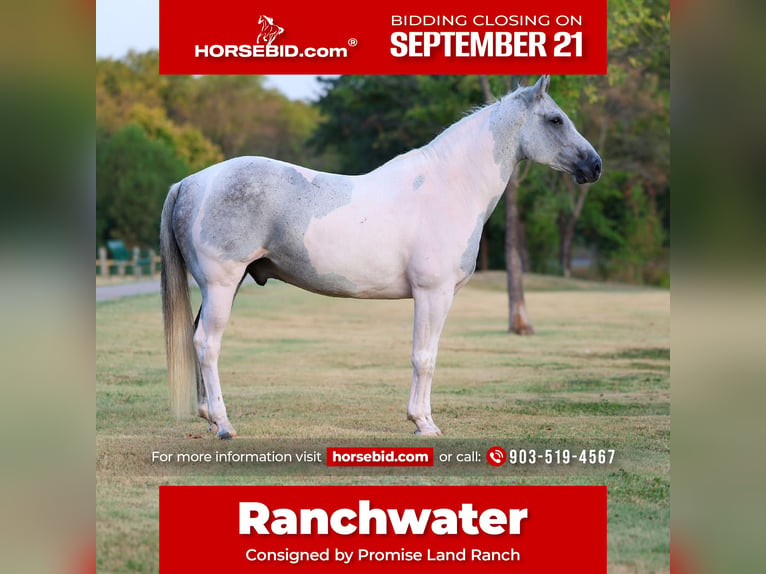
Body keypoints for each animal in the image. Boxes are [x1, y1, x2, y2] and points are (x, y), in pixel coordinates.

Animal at [160, 75, 602, 439]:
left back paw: (208, 416)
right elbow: (424, 357)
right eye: (556, 120)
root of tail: (192, 181)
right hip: (221, 284)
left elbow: (428, 355)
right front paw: (423, 423)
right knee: (207, 344)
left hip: (224, 286)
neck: (449, 187)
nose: (594, 165)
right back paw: (224, 424)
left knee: (197, 339)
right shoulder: (433, 293)